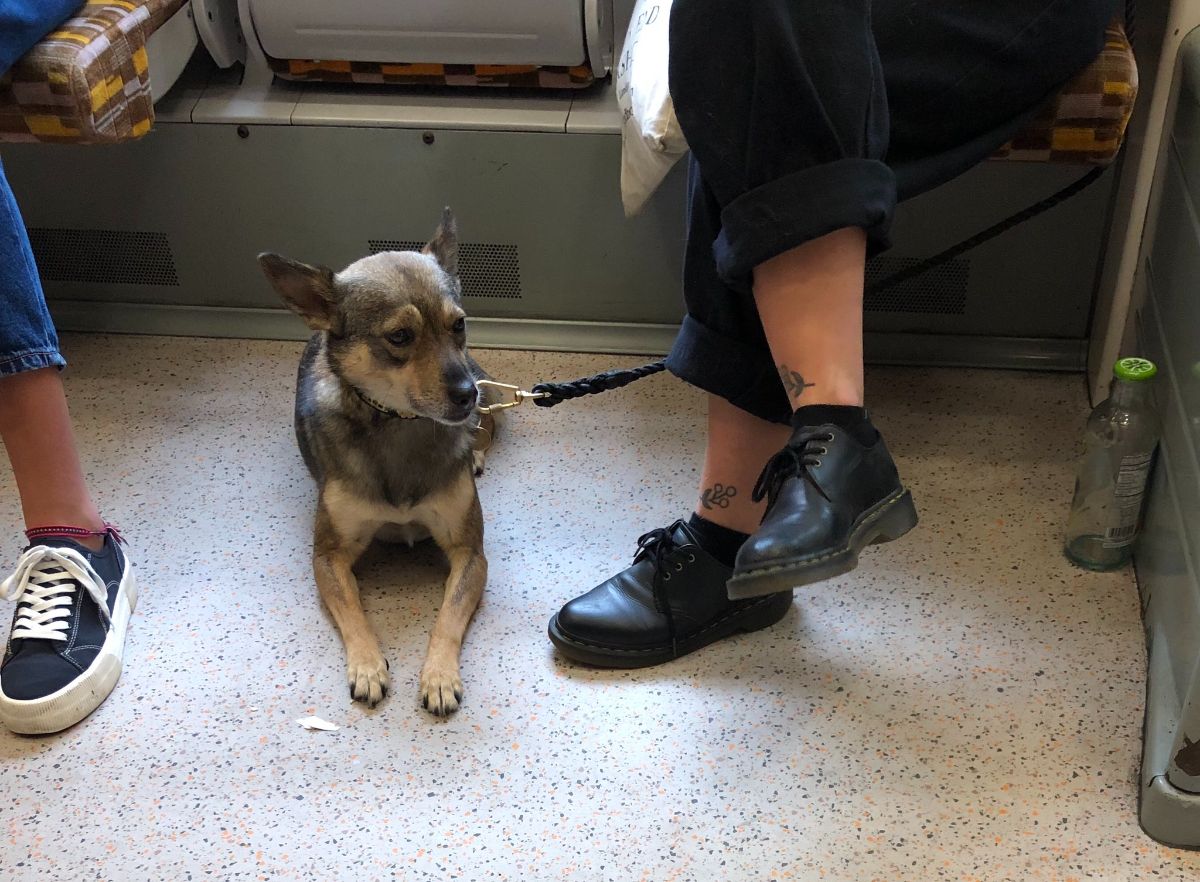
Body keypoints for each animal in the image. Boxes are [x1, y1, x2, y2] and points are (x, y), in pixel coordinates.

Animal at [258, 208, 496, 720]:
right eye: (400, 337)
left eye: (459, 325)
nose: (467, 395)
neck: (400, 425)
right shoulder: (328, 557)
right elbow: (354, 614)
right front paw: (367, 666)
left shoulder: (469, 552)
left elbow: (447, 616)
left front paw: (439, 676)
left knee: (486, 431)